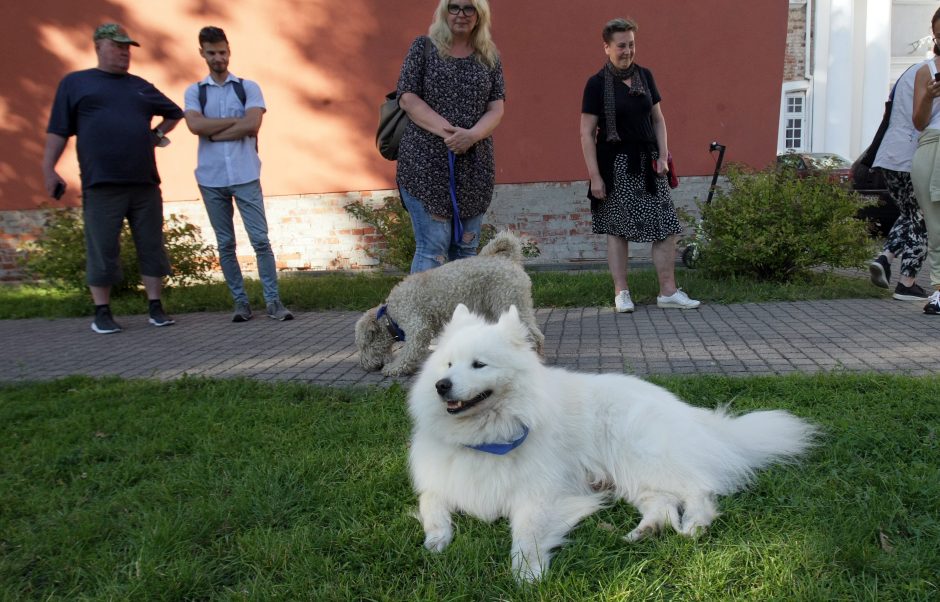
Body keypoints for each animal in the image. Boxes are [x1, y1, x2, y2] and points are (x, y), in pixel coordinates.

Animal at [408, 302, 820, 580]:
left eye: (479, 365)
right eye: (448, 365)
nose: (441, 385)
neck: (487, 437)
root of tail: (686, 411)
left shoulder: (539, 497)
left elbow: (525, 535)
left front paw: (527, 574)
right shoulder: (441, 483)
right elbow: (432, 505)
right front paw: (436, 541)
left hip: (640, 457)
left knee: (699, 490)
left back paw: (695, 525)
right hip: (630, 477)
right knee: (663, 504)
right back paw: (645, 531)